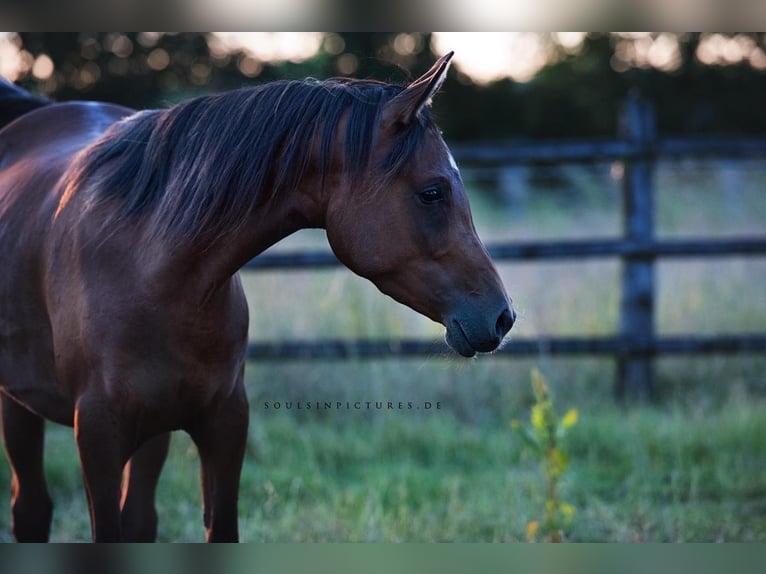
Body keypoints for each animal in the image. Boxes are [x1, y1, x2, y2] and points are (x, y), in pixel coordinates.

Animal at [1, 51, 516, 544]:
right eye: (432, 192)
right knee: (31, 509)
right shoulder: (98, 437)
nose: (502, 318)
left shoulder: (226, 423)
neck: (150, 270)